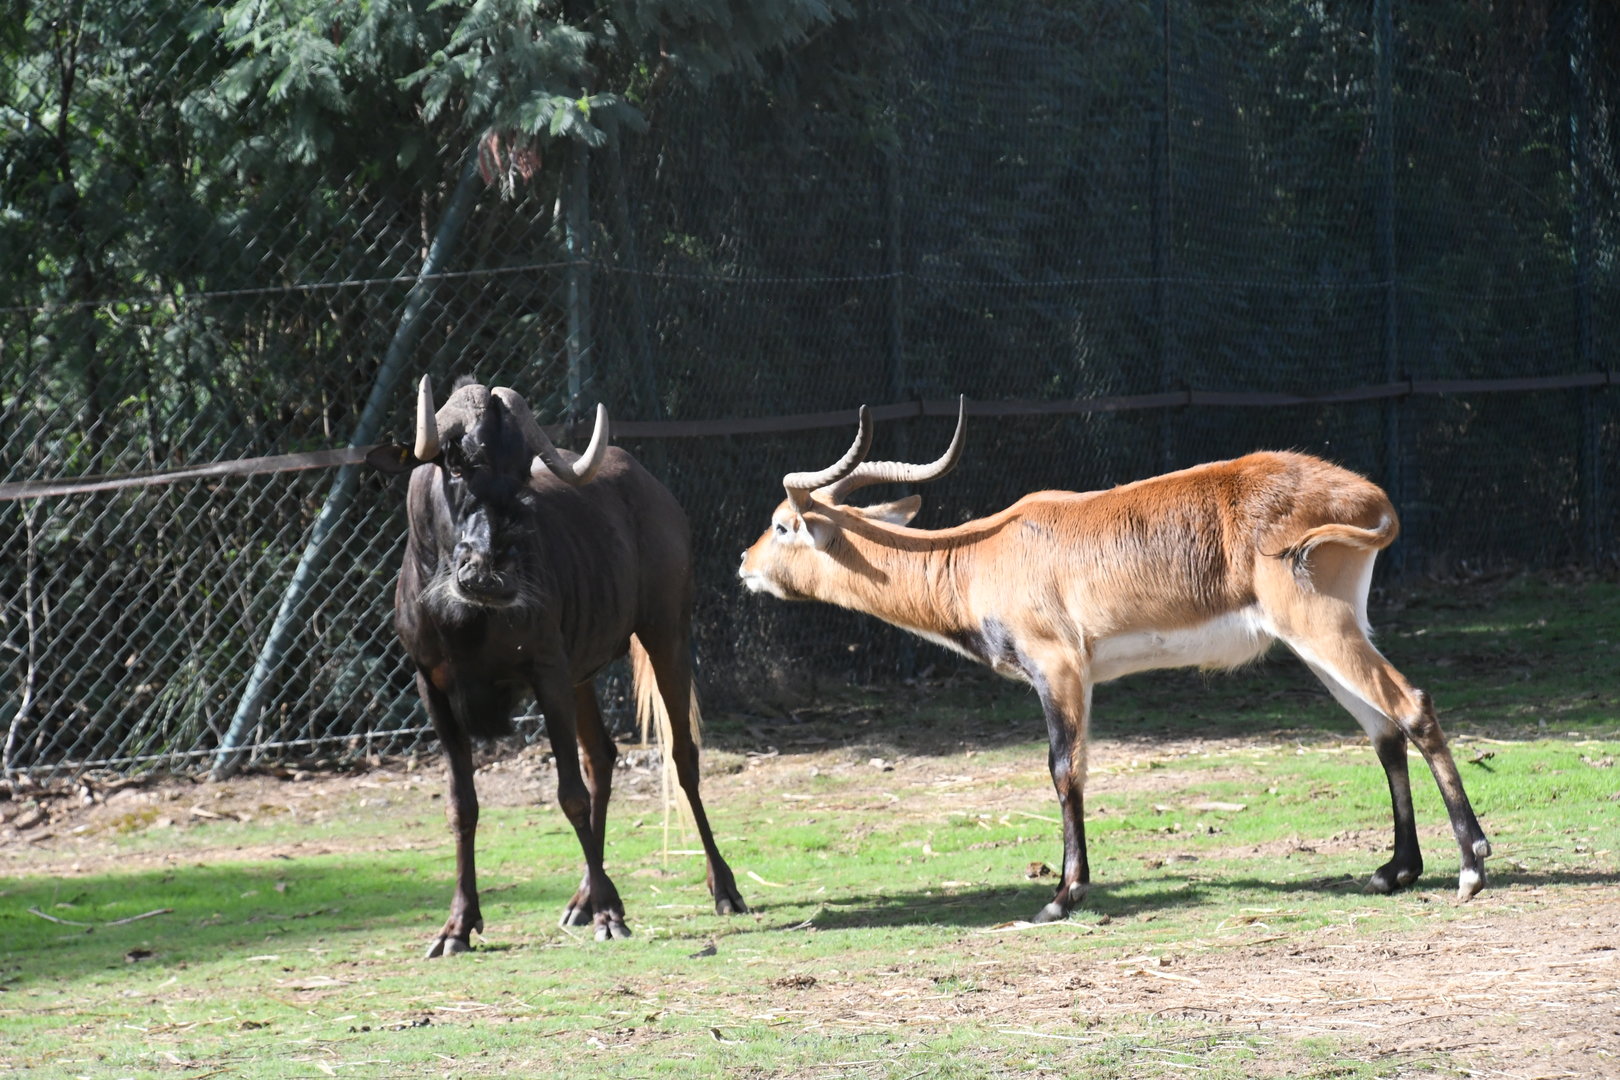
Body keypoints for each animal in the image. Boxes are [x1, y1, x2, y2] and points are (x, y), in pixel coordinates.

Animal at [739, 401, 1489, 922]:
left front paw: (1061, 897)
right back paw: (1395, 871)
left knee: (1411, 706)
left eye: (781, 524)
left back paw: (1471, 867)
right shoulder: (1082, 679)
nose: (744, 564)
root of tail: (1370, 497)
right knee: (1383, 730)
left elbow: (1064, 770)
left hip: (1320, 627)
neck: (978, 557)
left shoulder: (1059, 669)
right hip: (1324, 638)